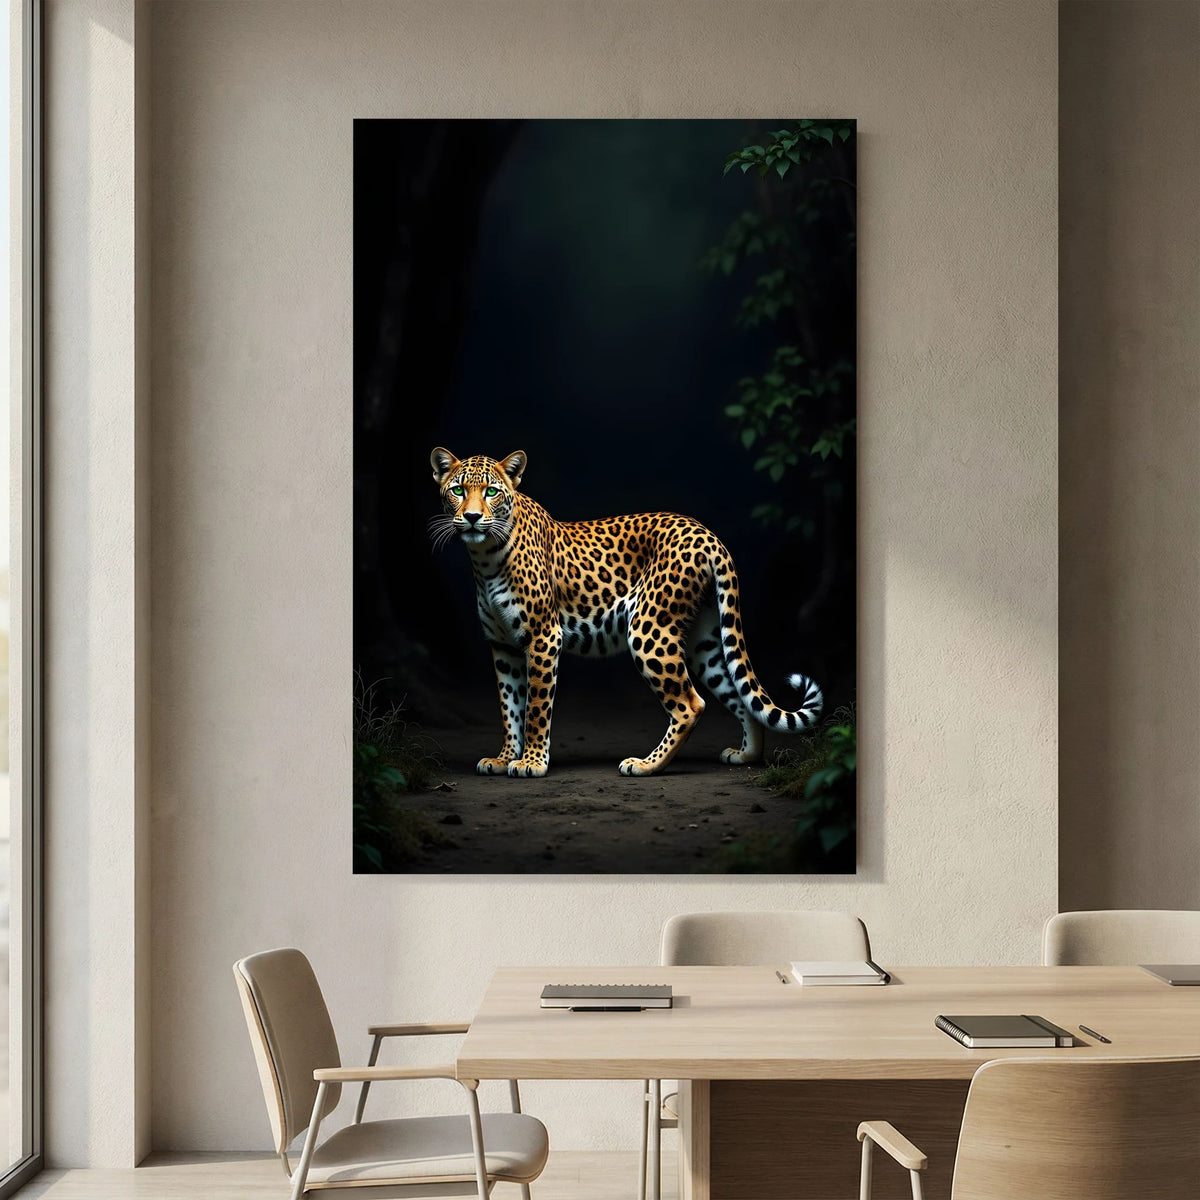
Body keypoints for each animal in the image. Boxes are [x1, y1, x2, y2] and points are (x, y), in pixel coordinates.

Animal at [429, 447, 823, 778]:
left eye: (491, 492)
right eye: (458, 490)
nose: (472, 517)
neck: (484, 558)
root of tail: (707, 533)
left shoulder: (543, 637)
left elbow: (536, 708)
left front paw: (532, 762)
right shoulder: (503, 646)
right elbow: (509, 706)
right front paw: (504, 757)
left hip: (649, 629)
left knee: (690, 704)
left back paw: (646, 765)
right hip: (703, 641)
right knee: (739, 694)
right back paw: (747, 756)